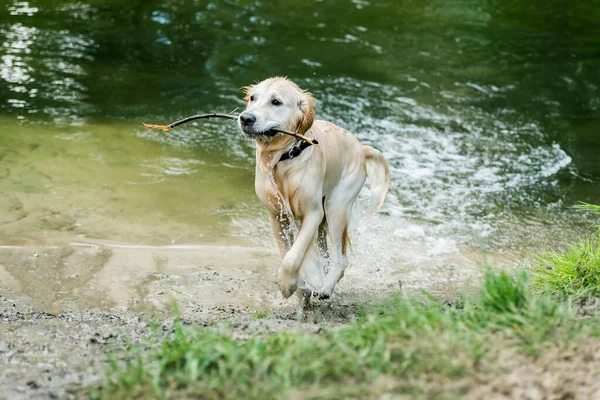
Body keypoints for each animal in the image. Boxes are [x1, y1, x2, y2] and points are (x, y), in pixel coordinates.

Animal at [237, 77, 392, 300]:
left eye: (276, 102)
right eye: (252, 98)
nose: (245, 118)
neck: (284, 158)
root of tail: (361, 149)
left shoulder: (313, 213)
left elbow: (293, 256)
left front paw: (287, 284)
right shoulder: (276, 215)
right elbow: (286, 251)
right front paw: (298, 284)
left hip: (336, 206)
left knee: (341, 259)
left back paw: (325, 288)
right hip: (323, 223)